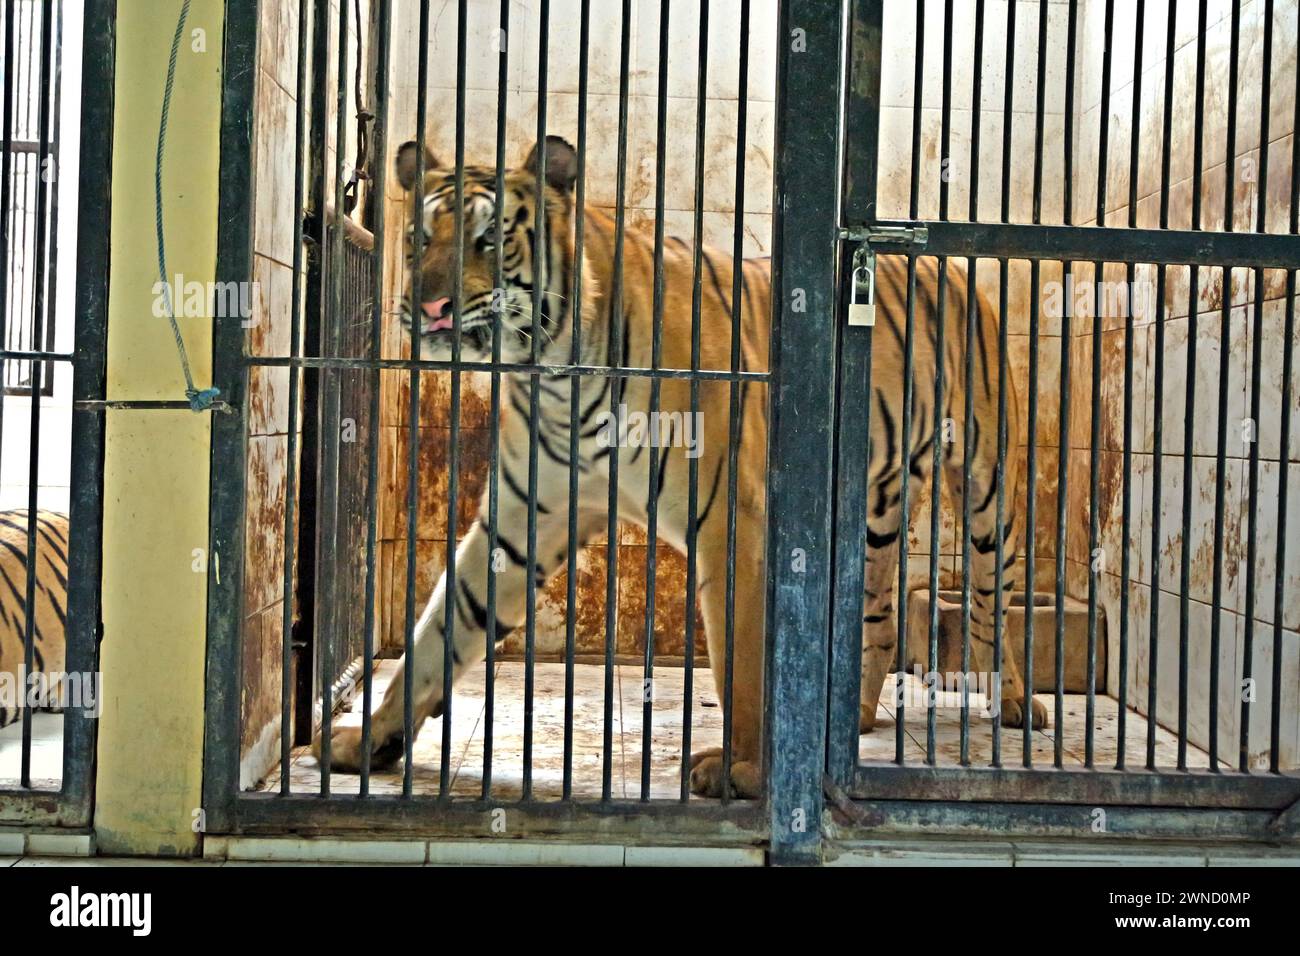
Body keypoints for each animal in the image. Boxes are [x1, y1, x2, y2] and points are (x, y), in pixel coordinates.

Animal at [314, 130, 1045, 796]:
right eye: (416, 241)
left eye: (488, 241)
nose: (428, 305)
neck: (552, 373)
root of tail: (944, 267)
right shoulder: (522, 520)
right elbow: (440, 631)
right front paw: (368, 738)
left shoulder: (735, 521)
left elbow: (742, 661)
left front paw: (743, 771)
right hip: (872, 509)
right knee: (878, 618)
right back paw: (857, 723)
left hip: (988, 491)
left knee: (992, 604)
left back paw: (1012, 704)